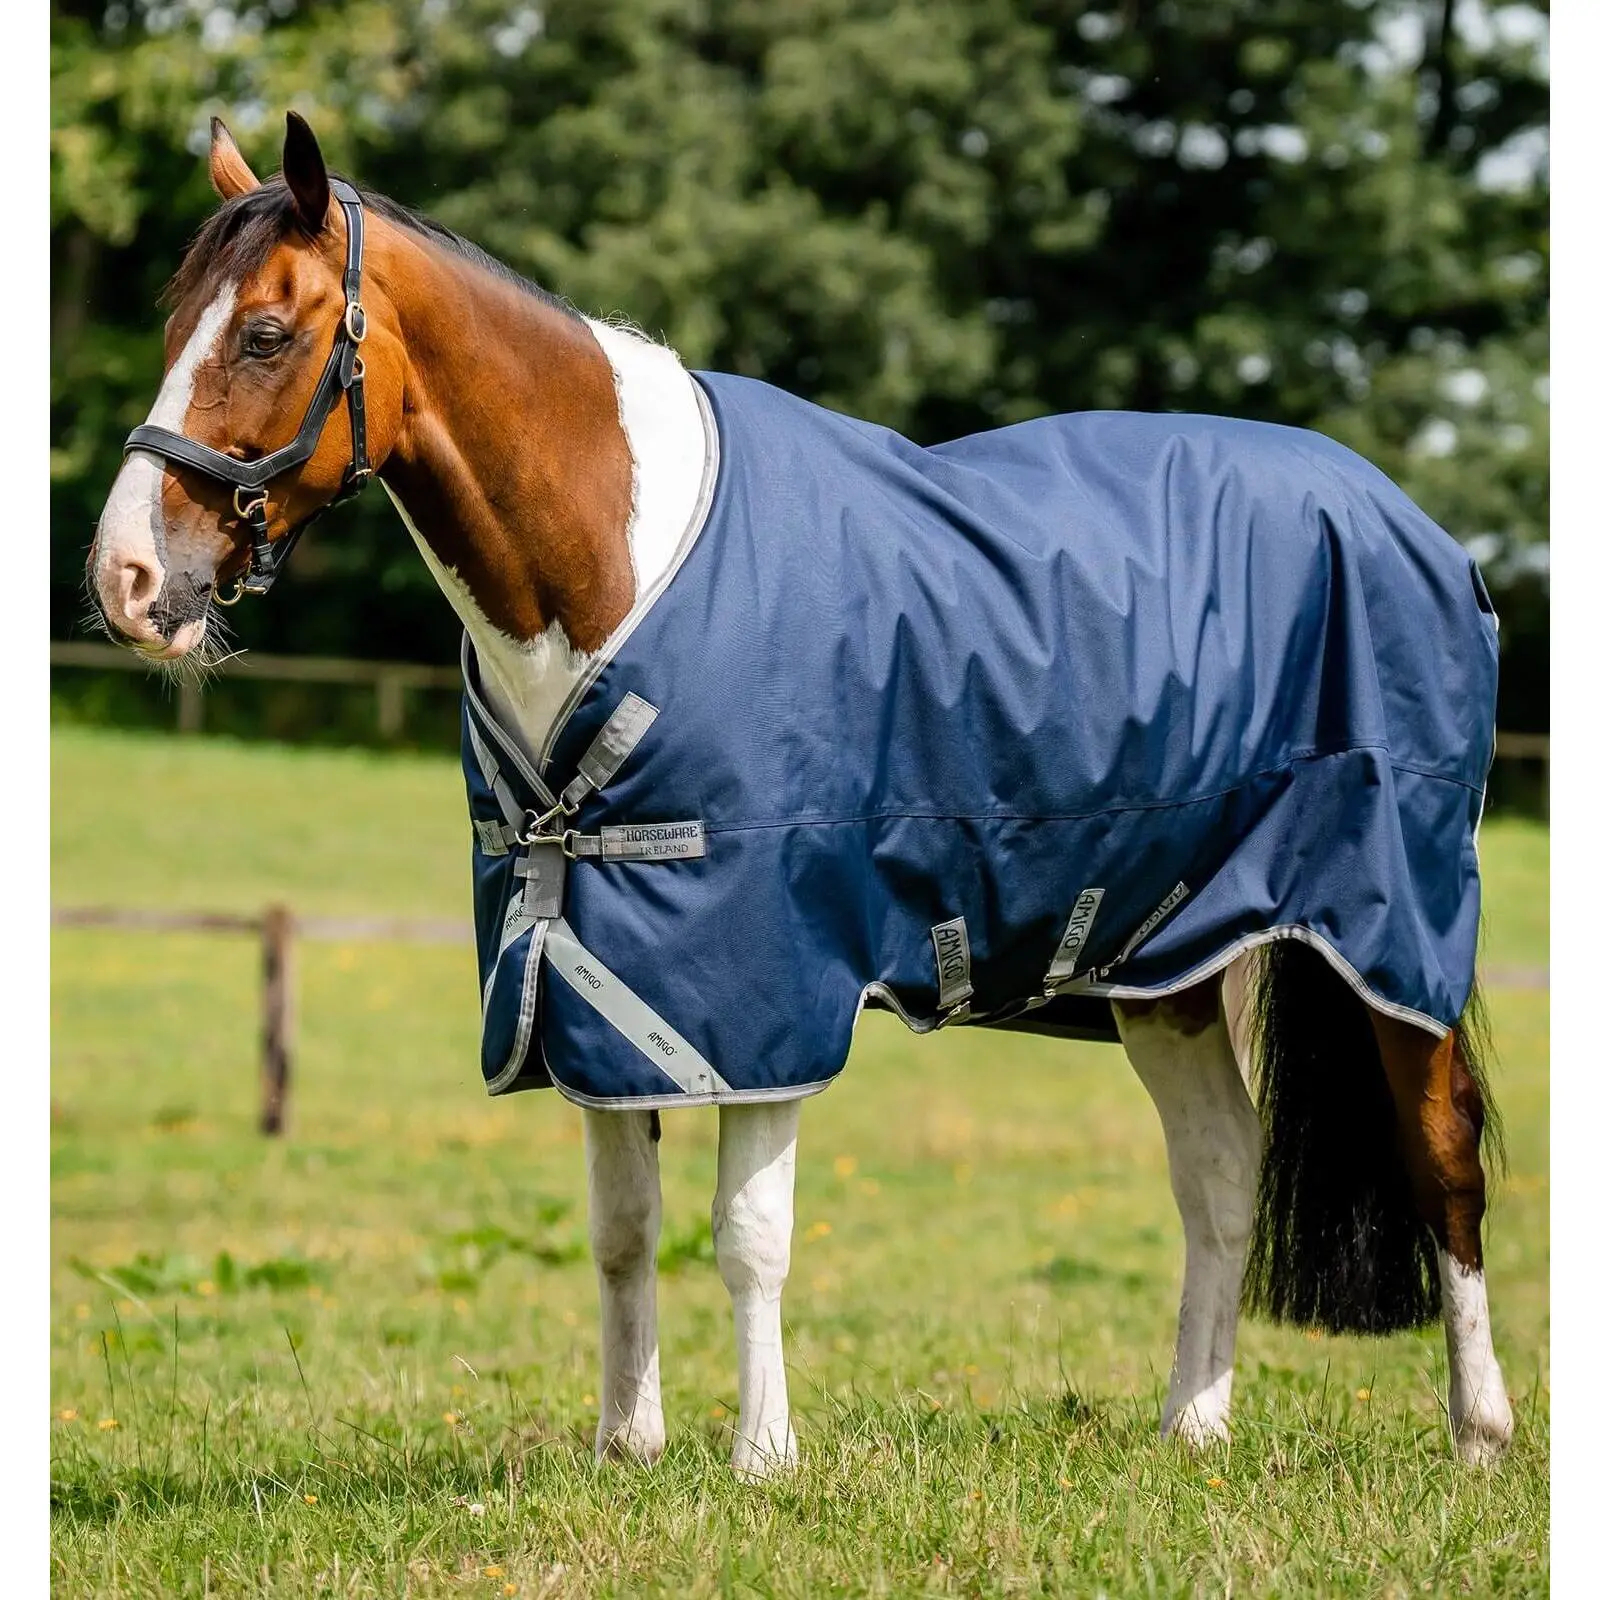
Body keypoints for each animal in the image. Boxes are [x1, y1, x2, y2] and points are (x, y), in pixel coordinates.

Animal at [85, 113, 1514, 1477]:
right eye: (169, 324)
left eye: (266, 332)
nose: (127, 581)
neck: (614, 558)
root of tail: (1410, 523)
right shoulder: (593, 979)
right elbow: (622, 1228)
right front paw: (626, 1445)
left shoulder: (760, 984)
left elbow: (747, 1233)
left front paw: (761, 1456)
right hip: (1164, 959)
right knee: (1219, 1175)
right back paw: (1192, 1428)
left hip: (1388, 932)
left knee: (1440, 1158)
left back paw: (1477, 1431)